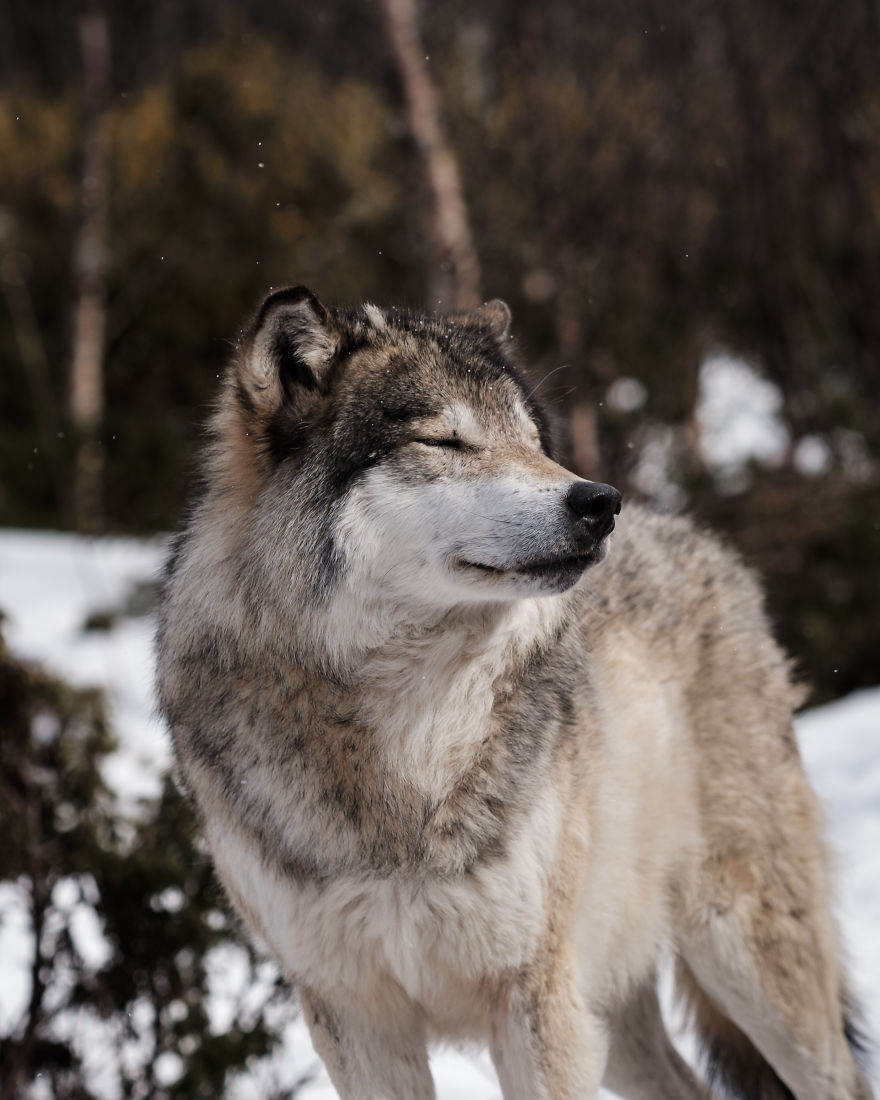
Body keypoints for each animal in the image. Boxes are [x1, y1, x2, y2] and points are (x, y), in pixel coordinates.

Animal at [156, 286, 874, 1100]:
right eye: (445, 441)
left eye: (533, 441)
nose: (599, 503)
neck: (404, 740)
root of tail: (706, 544)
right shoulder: (353, 1017)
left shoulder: (532, 994)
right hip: (615, 1016)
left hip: (740, 957)